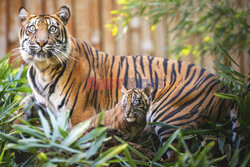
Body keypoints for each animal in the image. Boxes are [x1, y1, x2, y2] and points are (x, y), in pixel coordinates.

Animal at [17, 5, 232, 136]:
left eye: (52, 29)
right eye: (32, 29)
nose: (41, 42)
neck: (43, 69)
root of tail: (222, 86)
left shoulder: (80, 114)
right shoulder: (41, 101)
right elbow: (23, 103)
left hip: (167, 113)